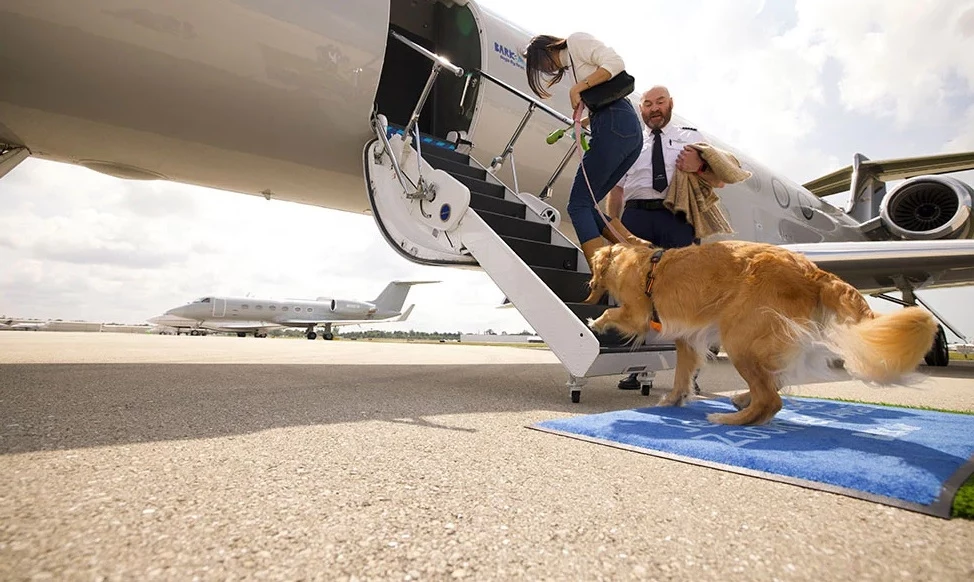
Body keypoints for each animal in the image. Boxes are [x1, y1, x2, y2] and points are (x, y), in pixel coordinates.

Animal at [584, 243, 940, 428]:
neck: (633, 260)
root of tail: (814, 271)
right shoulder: (687, 337)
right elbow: (682, 373)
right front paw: (674, 398)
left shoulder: (638, 313)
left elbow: (615, 314)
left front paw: (596, 321)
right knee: (774, 382)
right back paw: (743, 399)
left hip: (740, 337)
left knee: (772, 398)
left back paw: (731, 418)